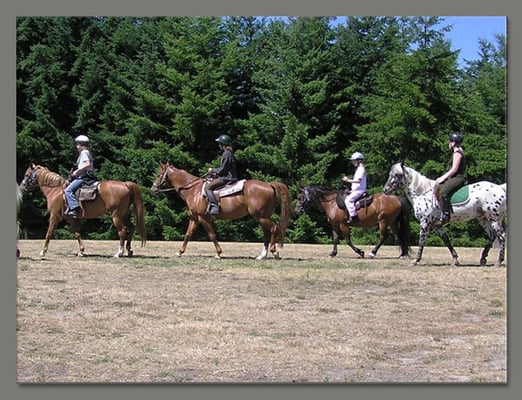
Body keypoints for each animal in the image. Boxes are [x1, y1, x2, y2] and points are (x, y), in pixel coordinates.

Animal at [148, 162, 290, 260]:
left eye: (159, 175)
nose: (152, 190)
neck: (194, 190)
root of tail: (268, 184)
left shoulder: (204, 218)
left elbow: (212, 235)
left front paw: (218, 253)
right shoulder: (195, 218)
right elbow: (188, 234)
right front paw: (179, 252)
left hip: (261, 217)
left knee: (274, 229)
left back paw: (274, 252)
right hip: (262, 217)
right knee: (267, 233)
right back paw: (262, 255)